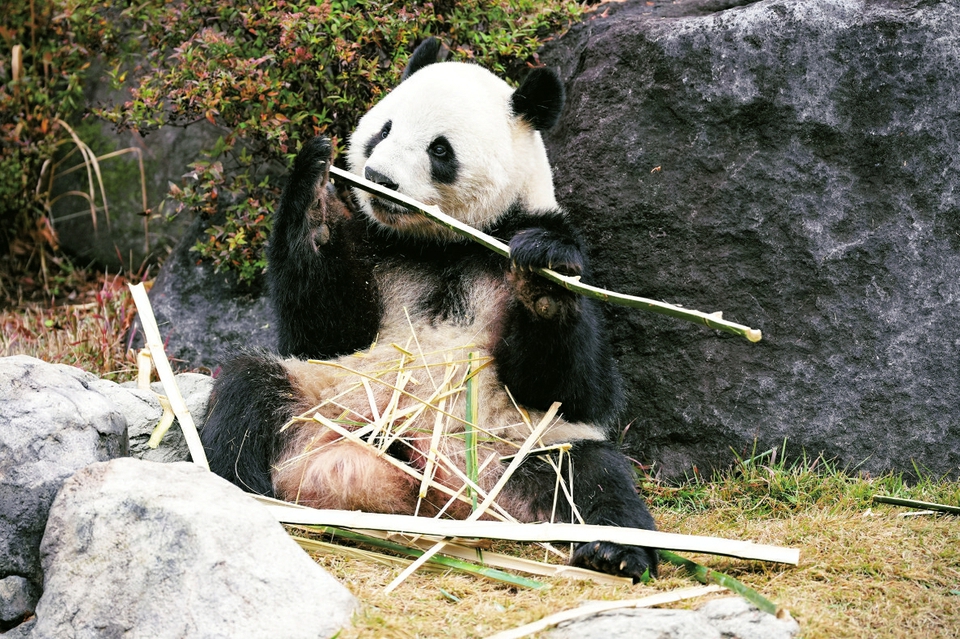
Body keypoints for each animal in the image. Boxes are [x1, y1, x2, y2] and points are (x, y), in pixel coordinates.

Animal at [201, 38, 659, 581]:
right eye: (383, 129)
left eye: (440, 149)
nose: (378, 178)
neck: (439, 243)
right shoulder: (375, 249)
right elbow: (324, 332)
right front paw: (316, 187)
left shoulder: (525, 239)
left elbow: (575, 388)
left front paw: (542, 277)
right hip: (322, 400)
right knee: (246, 398)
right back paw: (247, 496)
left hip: (525, 447)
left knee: (594, 479)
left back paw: (612, 552)